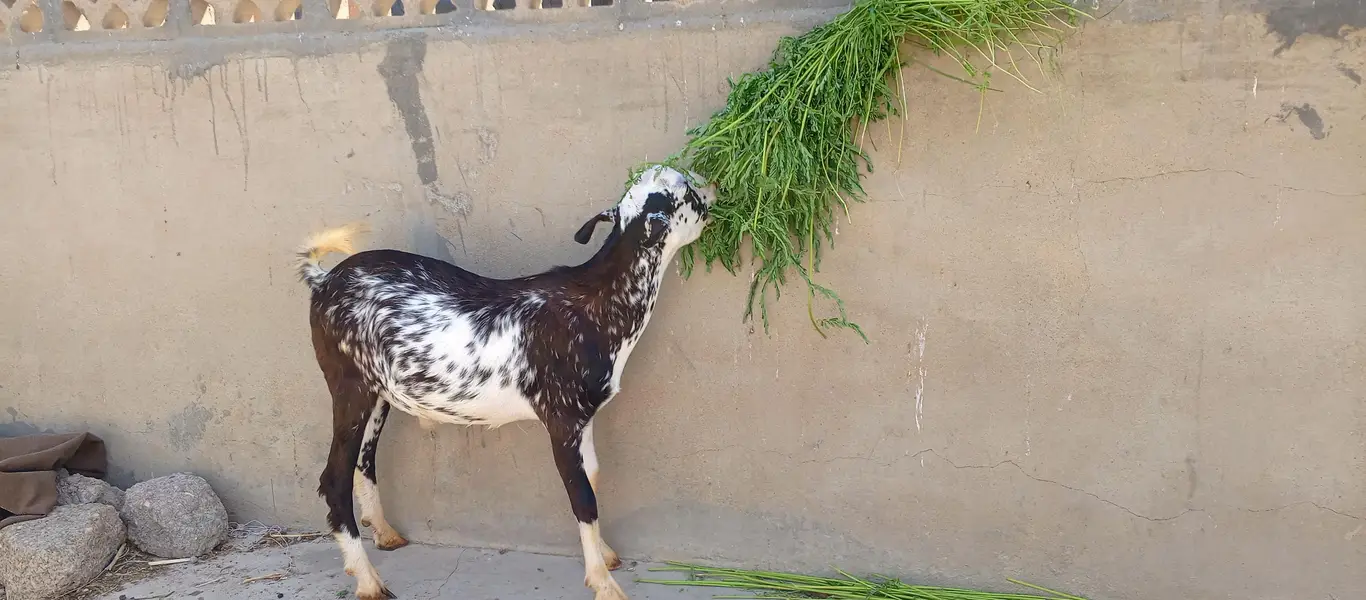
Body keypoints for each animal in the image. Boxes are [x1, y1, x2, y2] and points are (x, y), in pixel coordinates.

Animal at [293, 166, 716, 600]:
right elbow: (582, 496)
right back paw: (368, 581)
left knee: (364, 460)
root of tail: (323, 281)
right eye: (687, 193)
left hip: (377, 394)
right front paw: (604, 583)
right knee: (333, 478)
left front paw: (606, 554)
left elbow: (593, 475)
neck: (595, 306)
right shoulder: (561, 418)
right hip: (349, 384)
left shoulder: (585, 418)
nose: (714, 188)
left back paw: (385, 533)